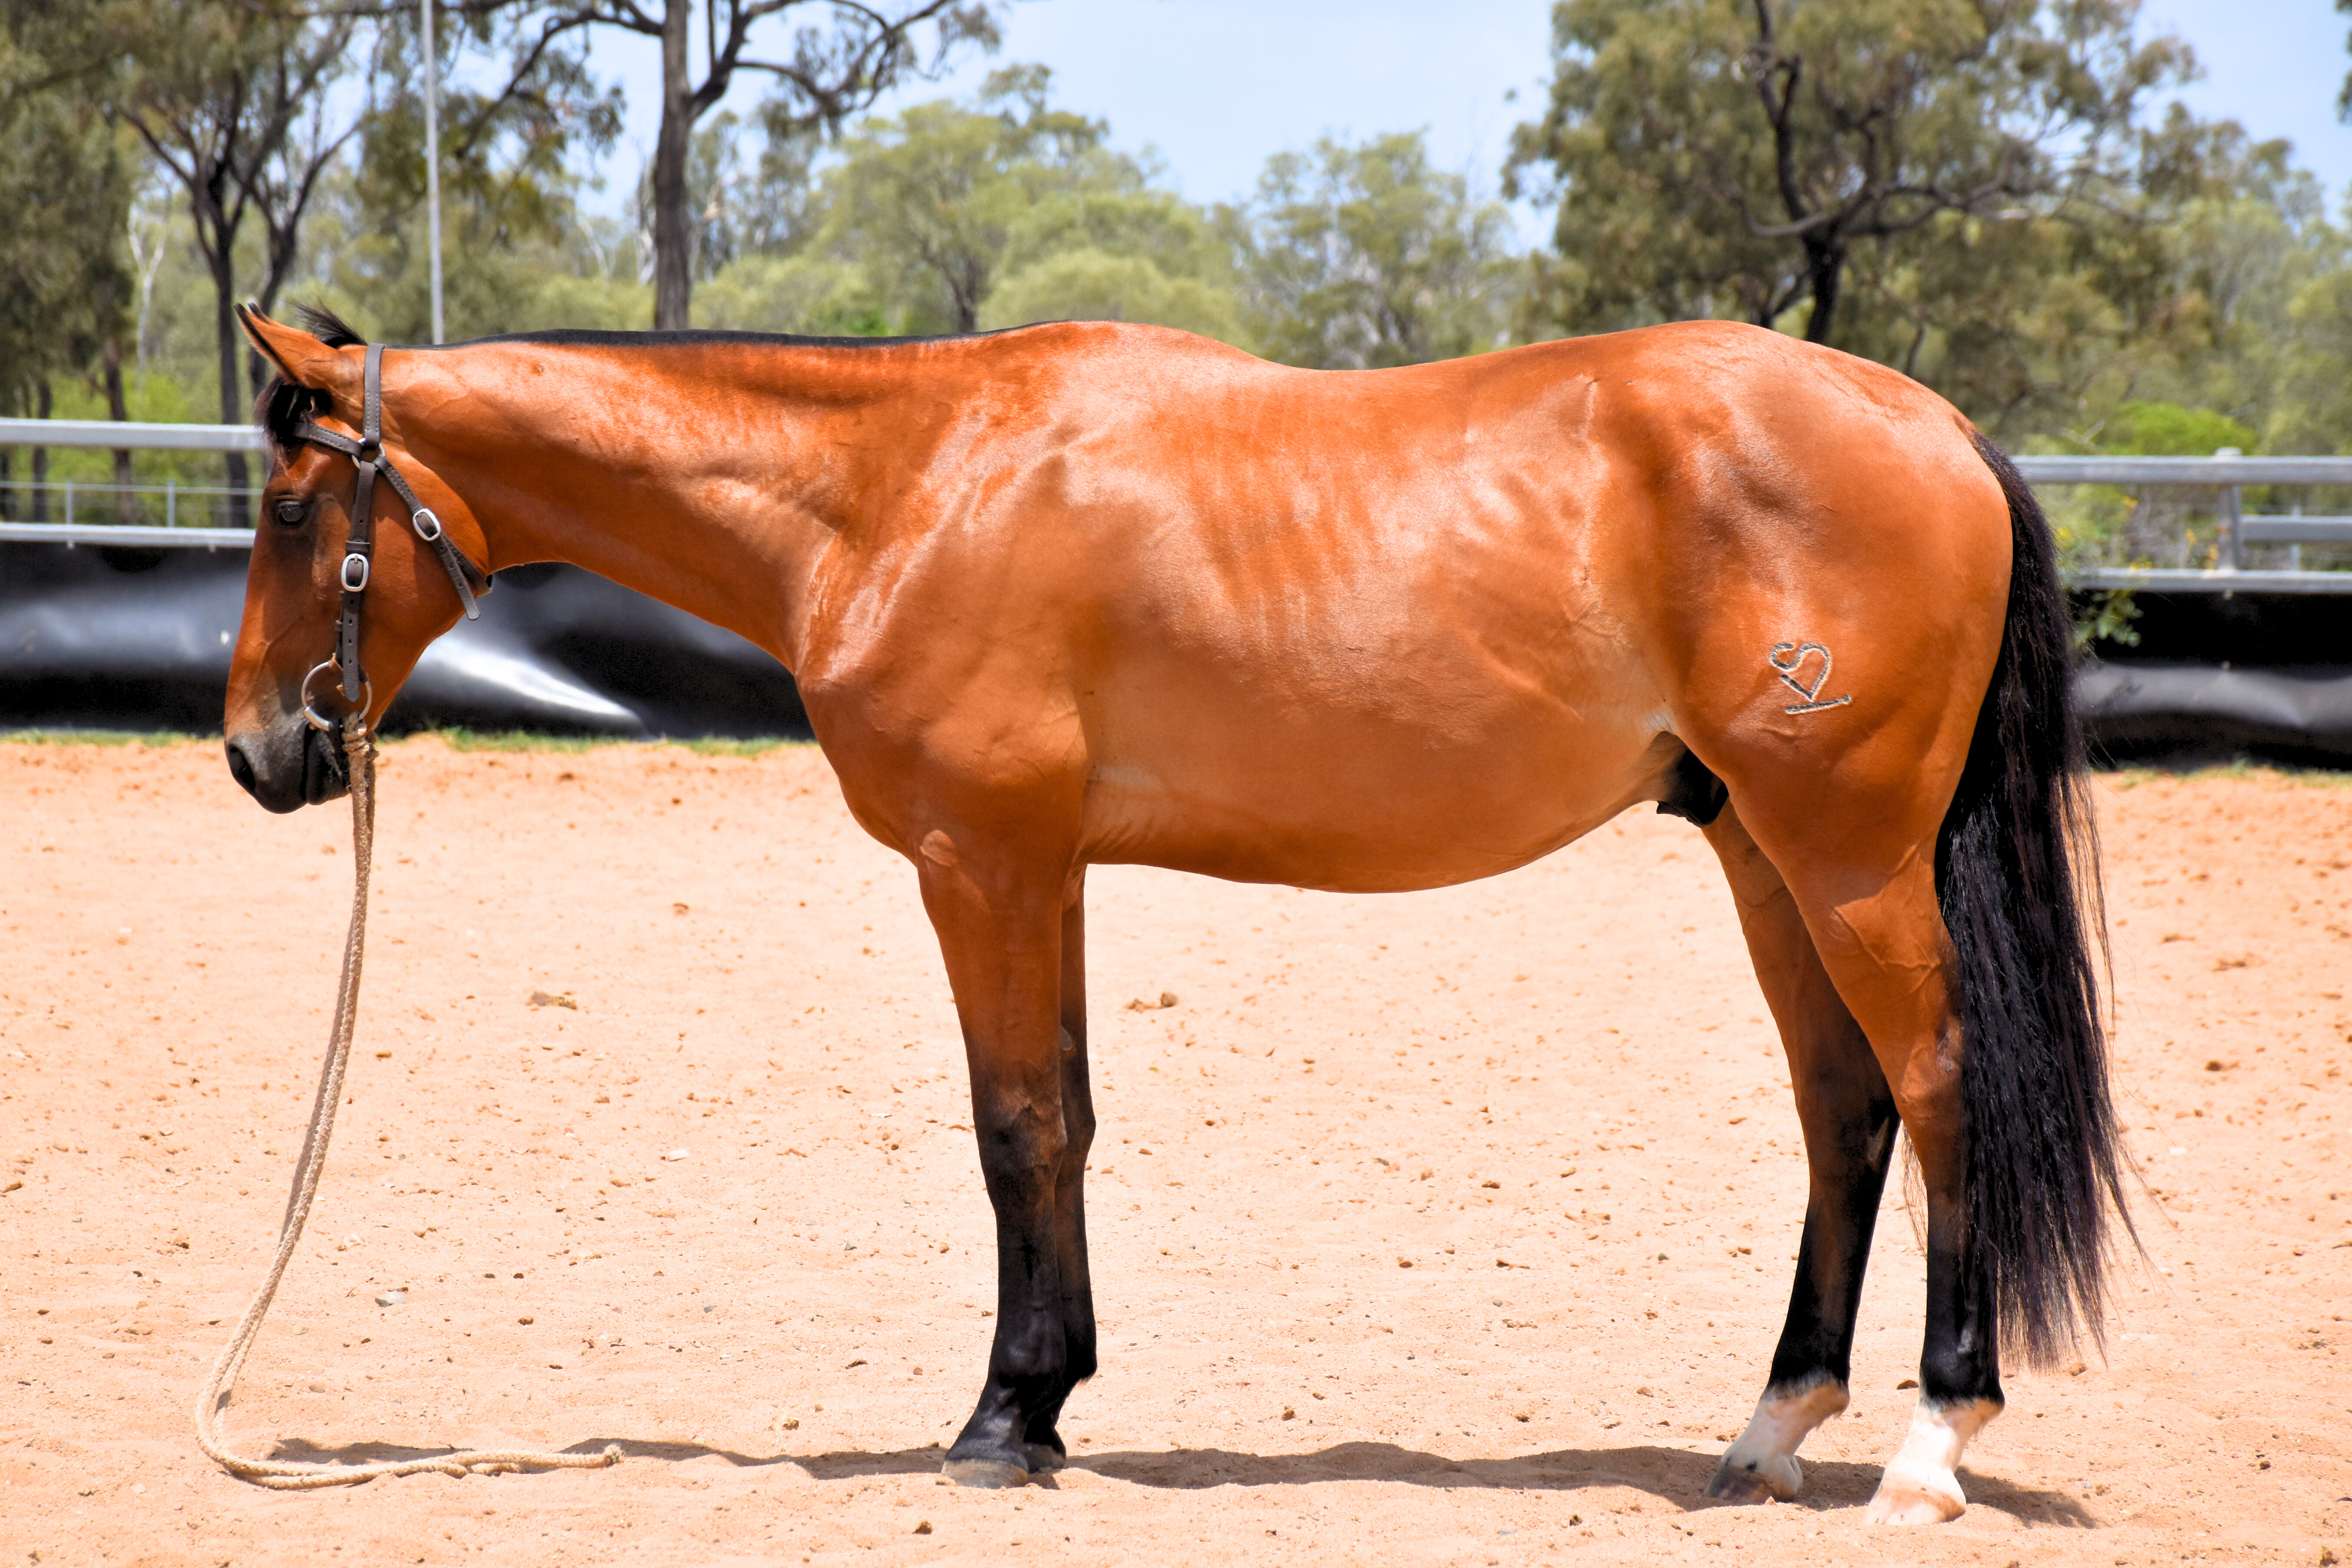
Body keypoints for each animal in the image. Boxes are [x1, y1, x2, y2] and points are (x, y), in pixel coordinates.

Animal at [222, 302, 2129, 1522]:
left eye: (292, 503)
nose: (262, 749)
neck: (904, 487)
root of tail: (1937, 429)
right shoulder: (1041, 866)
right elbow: (1061, 1118)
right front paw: (1050, 1397)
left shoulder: (980, 859)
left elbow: (1009, 1127)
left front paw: (1001, 1419)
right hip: (1759, 852)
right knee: (1841, 1107)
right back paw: (1769, 1431)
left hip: (1847, 854)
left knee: (1939, 1088)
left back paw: (1930, 1445)